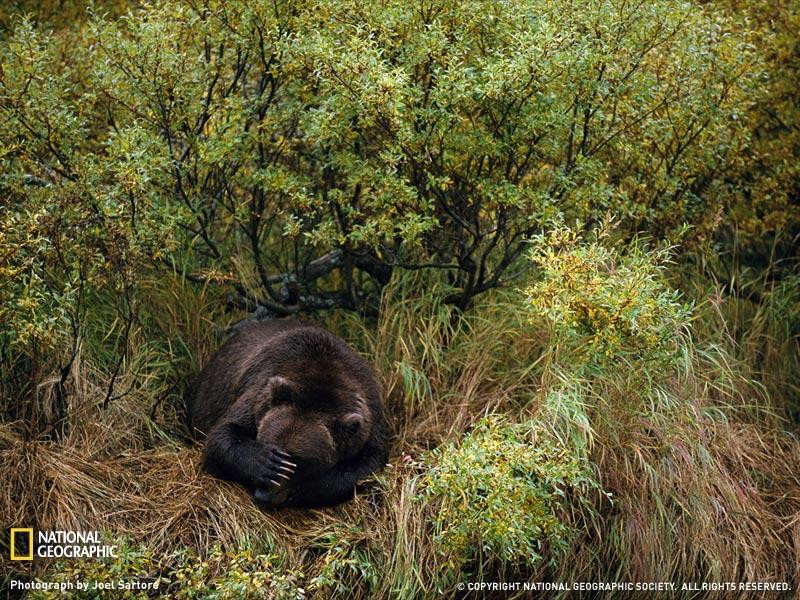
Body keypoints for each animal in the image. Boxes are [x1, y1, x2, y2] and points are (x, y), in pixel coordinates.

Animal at [188, 318, 388, 506]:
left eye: (300, 461)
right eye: (267, 443)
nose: (263, 494)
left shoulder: (369, 417)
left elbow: (367, 465)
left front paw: (302, 489)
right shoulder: (260, 392)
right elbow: (222, 434)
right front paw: (267, 463)